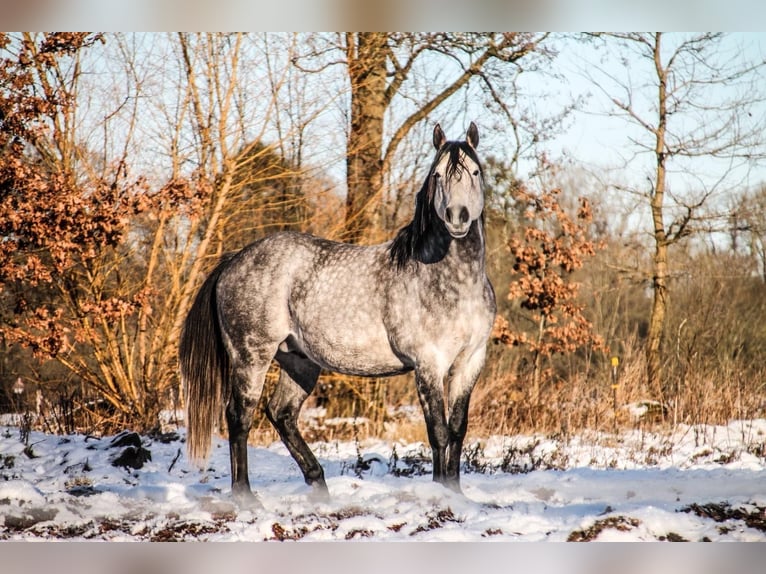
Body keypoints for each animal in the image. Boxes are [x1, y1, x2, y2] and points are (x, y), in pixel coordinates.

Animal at [179, 122, 496, 502]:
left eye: (475, 172)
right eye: (437, 175)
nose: (457, 217)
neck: (450, 282)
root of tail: (234, 260)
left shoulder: (470, 360)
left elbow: (458, 429)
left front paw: (456, 493)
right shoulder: (428, 364)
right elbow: (438, 431)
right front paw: (439, 493)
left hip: (298, 360)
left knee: (282, 414)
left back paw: (319, 486)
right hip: (251, 357)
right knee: (239, 416)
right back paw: (246, 496)